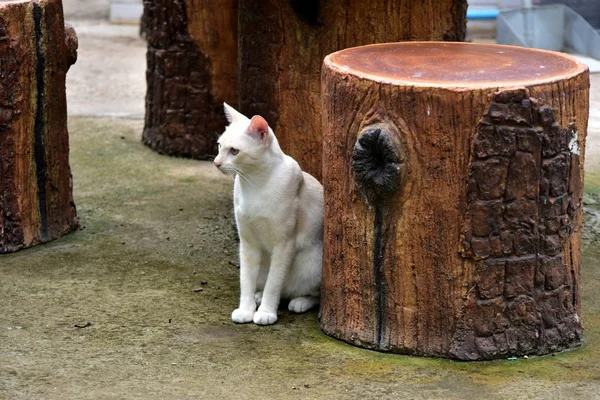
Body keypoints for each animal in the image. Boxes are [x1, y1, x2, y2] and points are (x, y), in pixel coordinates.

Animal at [212, 103, 322, 324]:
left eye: (234, 151)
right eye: (219, 146)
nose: (216, 163)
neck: (255, 183)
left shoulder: (284, 245)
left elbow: (274, 283)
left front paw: (266, 312)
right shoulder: (247, 243)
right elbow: (246, 281)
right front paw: (246, 310)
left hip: (312, 263)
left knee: (309, 293)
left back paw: (299, 302)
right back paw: (258, 296)